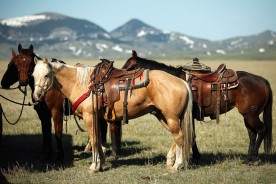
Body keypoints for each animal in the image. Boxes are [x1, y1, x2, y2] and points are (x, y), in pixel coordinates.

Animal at [32, 57, 194, 172]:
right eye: (33, 75)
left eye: (46, 75)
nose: (36, 95)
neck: (82, 83)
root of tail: (182, 82)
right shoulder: (97, 119)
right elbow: (98, 140)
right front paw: (100, 163)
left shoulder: (89, 117)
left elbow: (94, 139)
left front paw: (94, 166)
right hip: (163, 116)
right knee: (177, 136)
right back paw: (170, 161)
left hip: (171, 118)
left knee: (179, 137)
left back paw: (177, 165)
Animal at [122, 50, 272, 162]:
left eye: (129, 67)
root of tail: (263, 81)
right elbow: (192, 135)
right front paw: (195, 156)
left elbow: (190, 135)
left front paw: (193, 157)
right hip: (248, 115)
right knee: (252, 133)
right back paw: (249, 157)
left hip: (251, 114)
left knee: (261, 130)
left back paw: (254, 158)